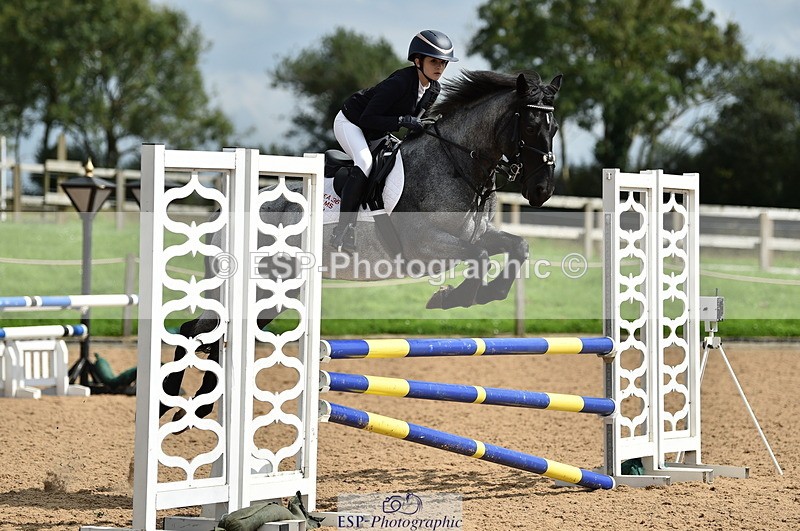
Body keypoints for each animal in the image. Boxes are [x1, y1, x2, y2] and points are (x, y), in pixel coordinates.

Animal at [160, 70, 562, 420]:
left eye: (555, 128)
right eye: (529, 125)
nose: (541, 190)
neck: (457, 162)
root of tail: (227, 207)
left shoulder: (474, 236)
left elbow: (518, 248)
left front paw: (486, 293)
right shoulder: (427, 246)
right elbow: (479, 259)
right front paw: (452, 298)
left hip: (271, 291)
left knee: (218, 334)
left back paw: (200, 406)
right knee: (195, 331)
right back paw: (172, 402)